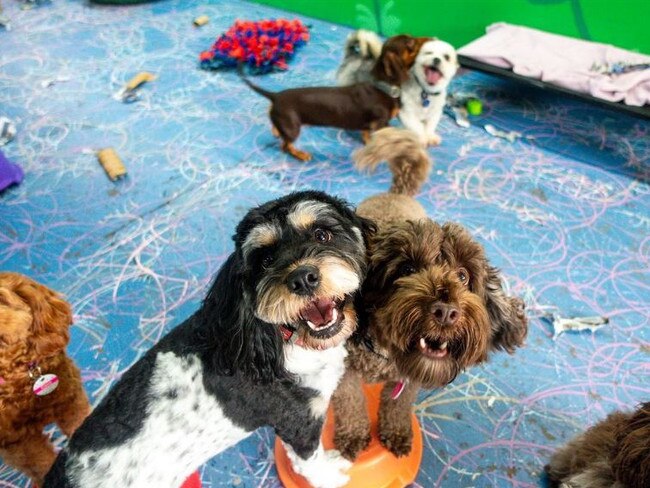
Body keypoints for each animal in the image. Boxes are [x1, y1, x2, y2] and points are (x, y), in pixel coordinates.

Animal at [330, 127, 528, 460]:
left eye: (463, 276)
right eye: (407, 269)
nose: (446, 312)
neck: (383, 354)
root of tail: (397, 192)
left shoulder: (408, 380)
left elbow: (397, 405)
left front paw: (396, 433)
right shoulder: (346, 373)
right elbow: (350, 404)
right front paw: (353, 436)